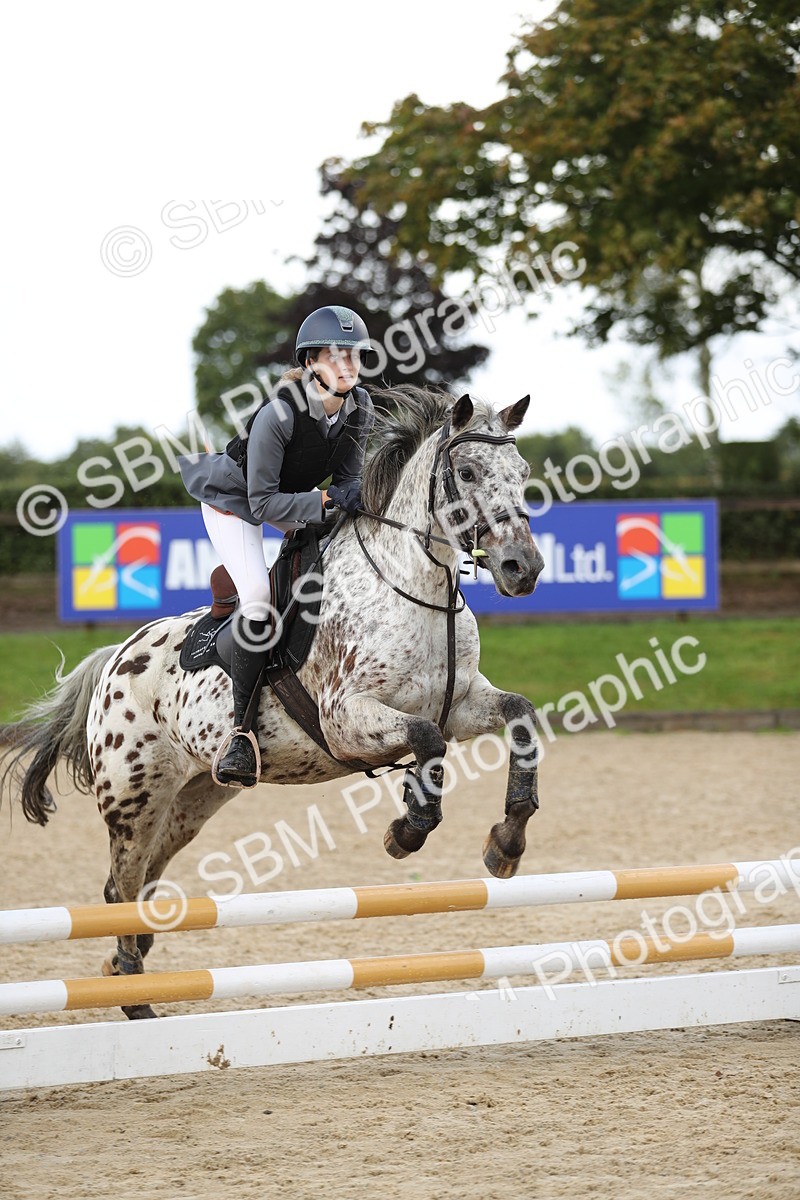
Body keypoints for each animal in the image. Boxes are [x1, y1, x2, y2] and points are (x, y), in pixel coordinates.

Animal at [1, 386, 544, 1019]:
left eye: (523, 473)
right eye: (467, 471)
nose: (523, 568)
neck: (413, 587)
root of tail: (116, 657)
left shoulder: (461, 705)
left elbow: (521, 717)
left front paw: (507, 841)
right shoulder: (345, 720)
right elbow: (427, 742)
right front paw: (406, 831)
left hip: (194, 796)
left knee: (145, 877)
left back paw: (128, 966)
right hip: (133, 797)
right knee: (121, 886)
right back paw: (135, 998)